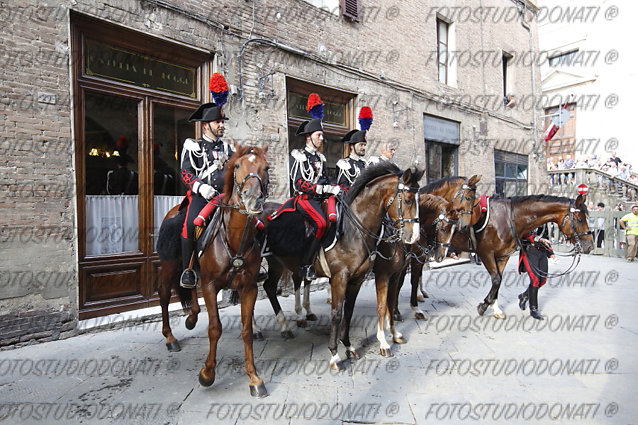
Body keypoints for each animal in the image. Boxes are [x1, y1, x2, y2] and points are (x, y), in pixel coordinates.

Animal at [160, 144, 272, 396]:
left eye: (267, 167)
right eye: (237, 165)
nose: (253, 198)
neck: (234, 237)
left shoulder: (248, 287)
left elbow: (246, 330)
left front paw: (254, 377)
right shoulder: (211, 286)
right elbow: (214, 329)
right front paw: (207, 374)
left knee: (191, 286)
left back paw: (191, 317)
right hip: (169, 267)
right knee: (164, 297)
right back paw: (170, 338)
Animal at [260, 162, 424, 368]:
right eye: (408, 200)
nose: (414, 236)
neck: (354, 230)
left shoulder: (361, 278)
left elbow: (352, 310)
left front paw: (349, 346)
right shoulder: (345, 277)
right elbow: (339, 313)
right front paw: (335, 355)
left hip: (279, 264)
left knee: (272, 286)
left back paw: (289, 323)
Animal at [410, 192, 596, 318]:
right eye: (580, 219)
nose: (589, 245)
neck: (508, 219)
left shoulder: (502, 256)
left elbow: (498, 282)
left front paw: (495, 308)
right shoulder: (486, 254)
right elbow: (496, 280)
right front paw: (483, 306)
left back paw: (420, 294)